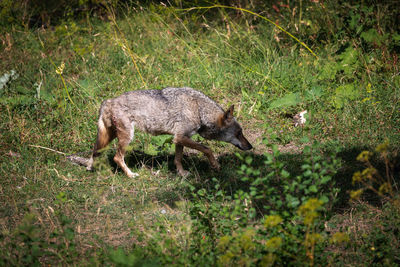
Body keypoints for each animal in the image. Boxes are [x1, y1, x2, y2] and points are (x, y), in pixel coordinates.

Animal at [85, 88, 253, 178]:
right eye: (239, 133)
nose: (250, 146)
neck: (199, 110)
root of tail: (108, 101)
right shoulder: (181, 137)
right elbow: (207, 149)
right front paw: (215, 165)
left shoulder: (179, 139)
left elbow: (178, 159)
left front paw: (182, 174)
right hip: (127, 138)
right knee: (117, 157)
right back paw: (131, 175)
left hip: (108, 138)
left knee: (94, 152)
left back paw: (90, 167)